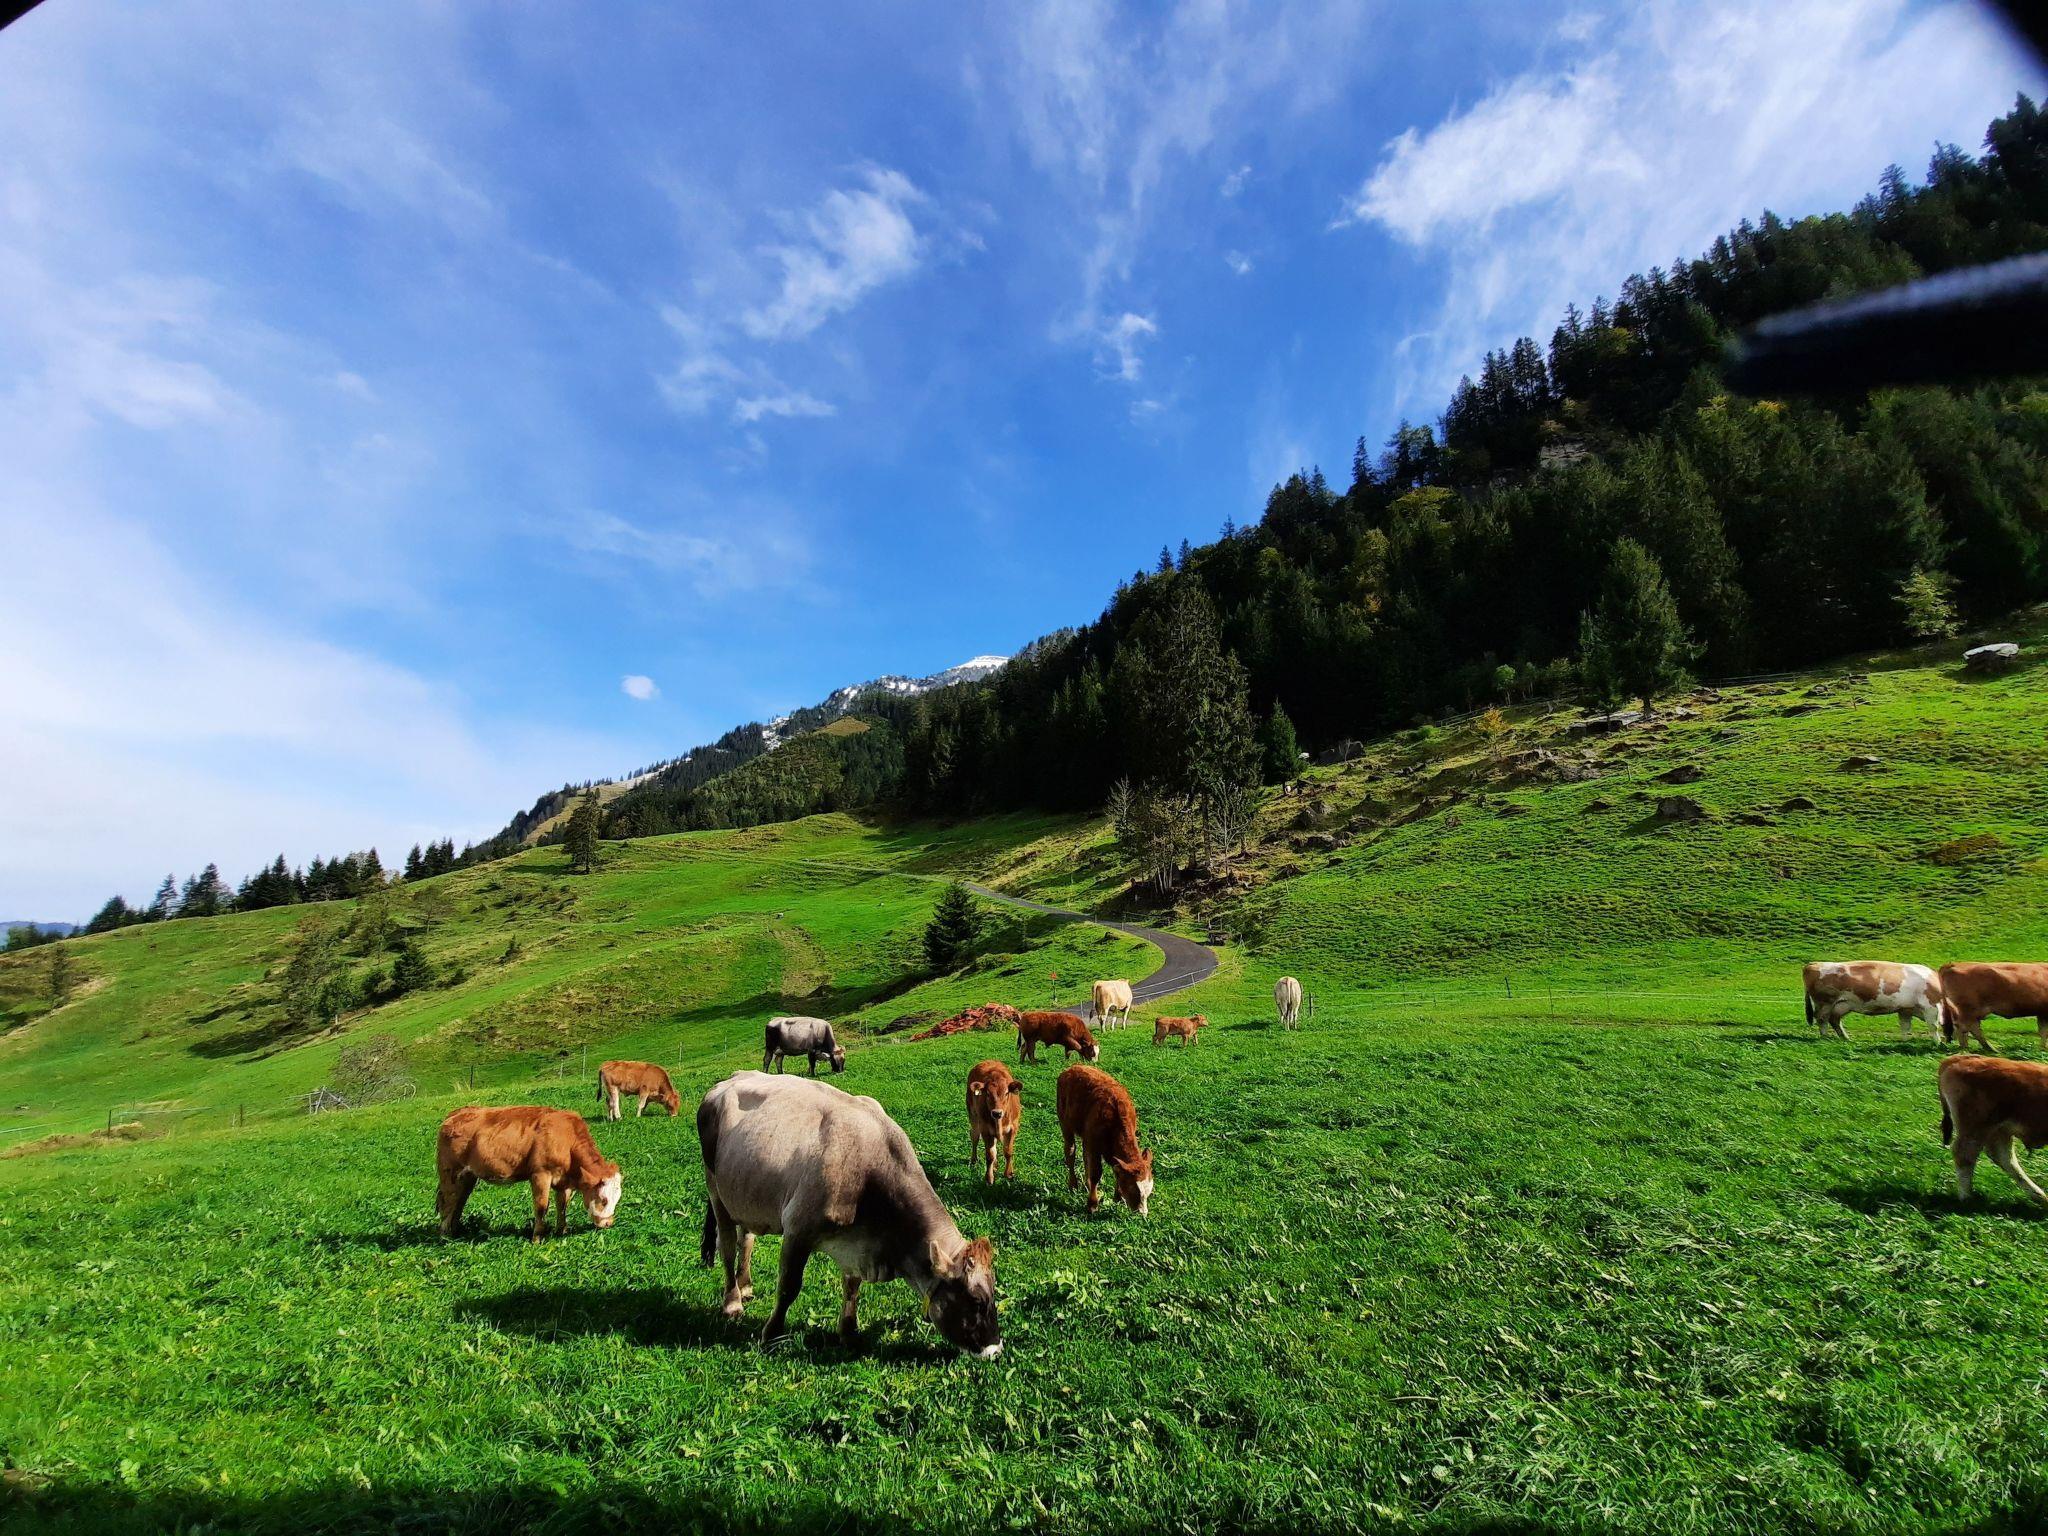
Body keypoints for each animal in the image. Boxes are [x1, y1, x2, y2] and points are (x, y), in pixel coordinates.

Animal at [436, 1105, 622, 1241]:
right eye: (603, 1200)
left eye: (617, 1199)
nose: (608, 1223)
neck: (566, 1139)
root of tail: (456, 1113)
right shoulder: (540, 1174)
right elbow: (541, 1206)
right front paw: (537, 1238)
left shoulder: (564, 1181)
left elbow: (562, 1205)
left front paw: (561, 1230)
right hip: (450, 1172)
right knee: (448, 1200)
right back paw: (445, 1236)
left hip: (468, 1176)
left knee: (459, 1199)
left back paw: (455, 1231)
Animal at [696, 1071, 1001, 1355]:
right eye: (976, 1300)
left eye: (993, 1292)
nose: (995, 1349)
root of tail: (730, 1079)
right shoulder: (797, 1230)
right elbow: (789, 1287)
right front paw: (771, 1334)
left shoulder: (859, 1244)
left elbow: (852, 1286)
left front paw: (849, 1333)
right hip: (716, 1190)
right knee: (727, 1246)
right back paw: (732, 1301)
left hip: (745, 1192)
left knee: (746, 1238)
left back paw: (745, 1285)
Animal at [1056, 1065, 1154, 1215]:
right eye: (1133, 1190)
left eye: (1149, 1192)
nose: (1142, 1213)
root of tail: (1073, 1067)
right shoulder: (1094, 1144)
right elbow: (1096, 1172)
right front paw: (1092, 1205)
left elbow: (1115, 1168)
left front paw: (1118, 1197)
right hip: (1065, 1124)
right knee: (1070, 1152)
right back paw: (1073, 1185)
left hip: (1086, 1136)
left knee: (1084, 1155)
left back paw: (1087, 1184)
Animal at [1802, 961, 1944, 1041]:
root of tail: (1813, 964)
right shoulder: (1931, 1006)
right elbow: (1934, 1026)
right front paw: (1937, 1043)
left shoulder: (1905, 1009)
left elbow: (1905, 1026)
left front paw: (1904, 1041)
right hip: (1825, 1002)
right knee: (1822, 1019)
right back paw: (1825, 1037)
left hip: (1841, 1005)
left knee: (1834, 1020)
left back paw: (1846, 1038)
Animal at [1939, 1054, 2048, 1204]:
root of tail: (1960, 1058)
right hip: (1976, 1128)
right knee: (1964, 1155)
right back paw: (1966, 1198)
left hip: (1999, 1130)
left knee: (2004, 1158)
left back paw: (2039, 1196)